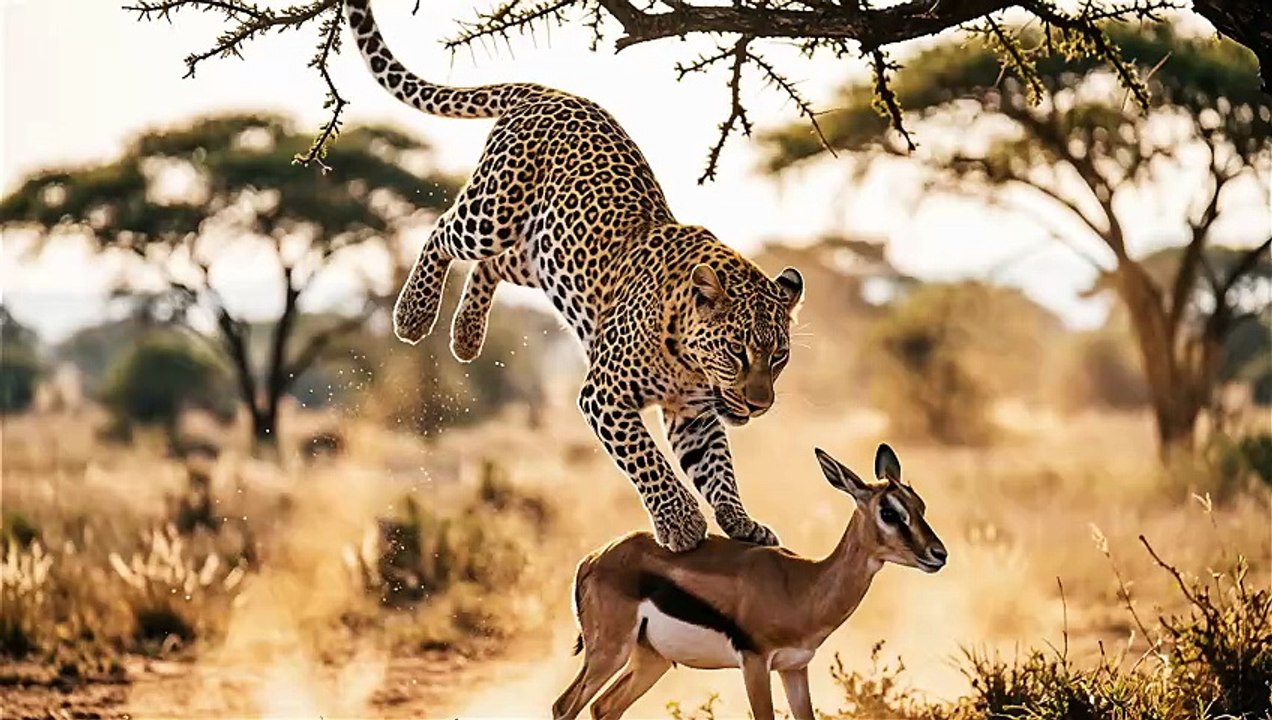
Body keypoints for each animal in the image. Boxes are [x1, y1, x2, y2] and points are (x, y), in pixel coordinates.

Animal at [344, 0, 805, 552]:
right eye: (737, 351)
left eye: (779, 356)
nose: (760, 406)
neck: (690, 366)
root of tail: (550, 92)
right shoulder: (603, 394)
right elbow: (646, 460)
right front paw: (680, 523)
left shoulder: (693, 416)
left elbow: (718, 470)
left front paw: (740, 521)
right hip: (494, 211)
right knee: (442, 231)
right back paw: (414, 314)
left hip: (540, 254)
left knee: (490, 265)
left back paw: (467, 336)